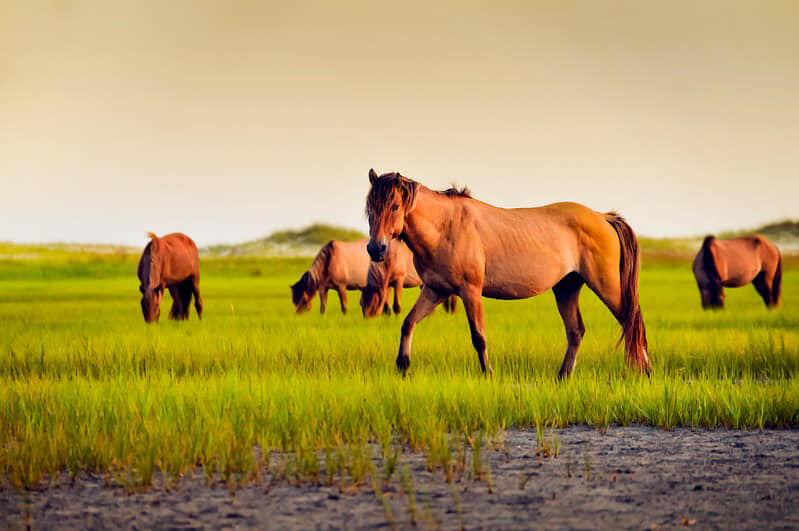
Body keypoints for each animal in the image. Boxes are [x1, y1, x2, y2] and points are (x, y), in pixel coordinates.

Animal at [366, 168, 652, 380]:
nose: (376, 249)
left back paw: (645, 371)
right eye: (369, 208)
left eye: (394, 206)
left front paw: (488, 374)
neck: (446, 227)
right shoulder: (436, 290)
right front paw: (402, 366)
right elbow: (408, 322)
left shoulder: (470, 290)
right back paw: (562, 377)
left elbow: (478, 337)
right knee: (576, 331)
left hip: (606, 286)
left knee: (631, 320)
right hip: (566, 287)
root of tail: (602, 217)